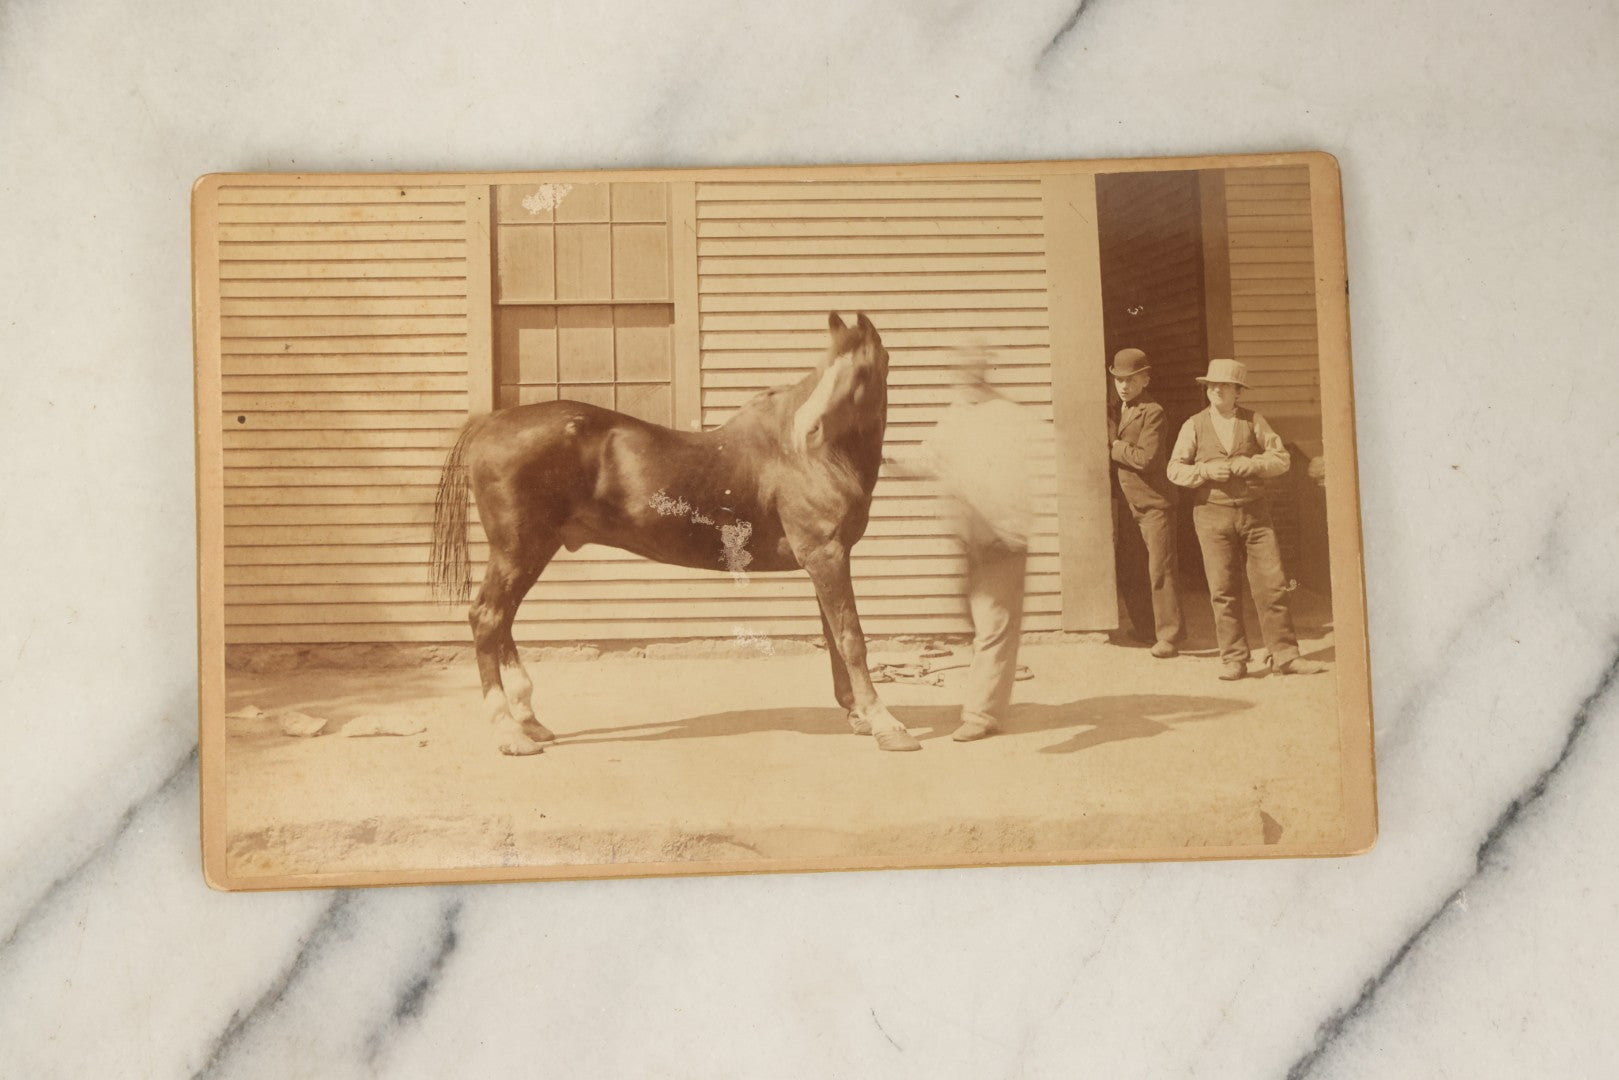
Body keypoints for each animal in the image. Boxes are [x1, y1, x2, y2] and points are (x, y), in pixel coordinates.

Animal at [430, 312, 922, 755]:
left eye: (861, 370)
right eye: (825, 368)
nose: (808, 431)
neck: (807, 457)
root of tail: (490, 423)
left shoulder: (824, 560)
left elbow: (835, 638)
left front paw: (858, 715)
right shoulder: (826, 556)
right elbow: (851, 638)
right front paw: (886, 724)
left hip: (533, 550)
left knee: (502, 620)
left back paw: (529, 721)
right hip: (517, 551)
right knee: (488, 618)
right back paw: (509, 733)